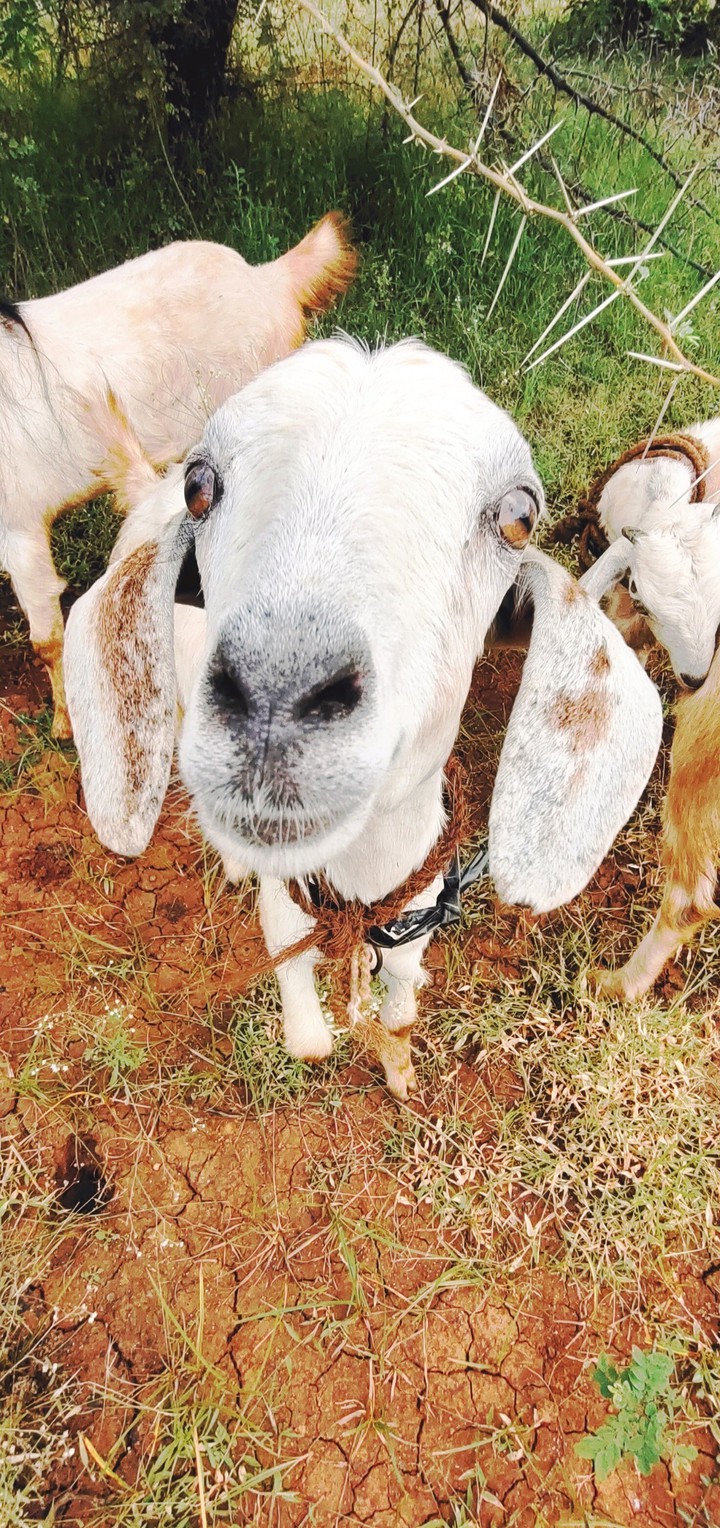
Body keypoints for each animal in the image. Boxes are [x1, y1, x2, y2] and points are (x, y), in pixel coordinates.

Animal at [63, 337, 662, 1096]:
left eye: (519, 516)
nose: (277, 695)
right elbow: (309, 1033)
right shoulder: (286, 909)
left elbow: (403, 998)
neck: (359, 892)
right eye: (203, 486)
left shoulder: (417, 909)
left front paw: (401, 1068)